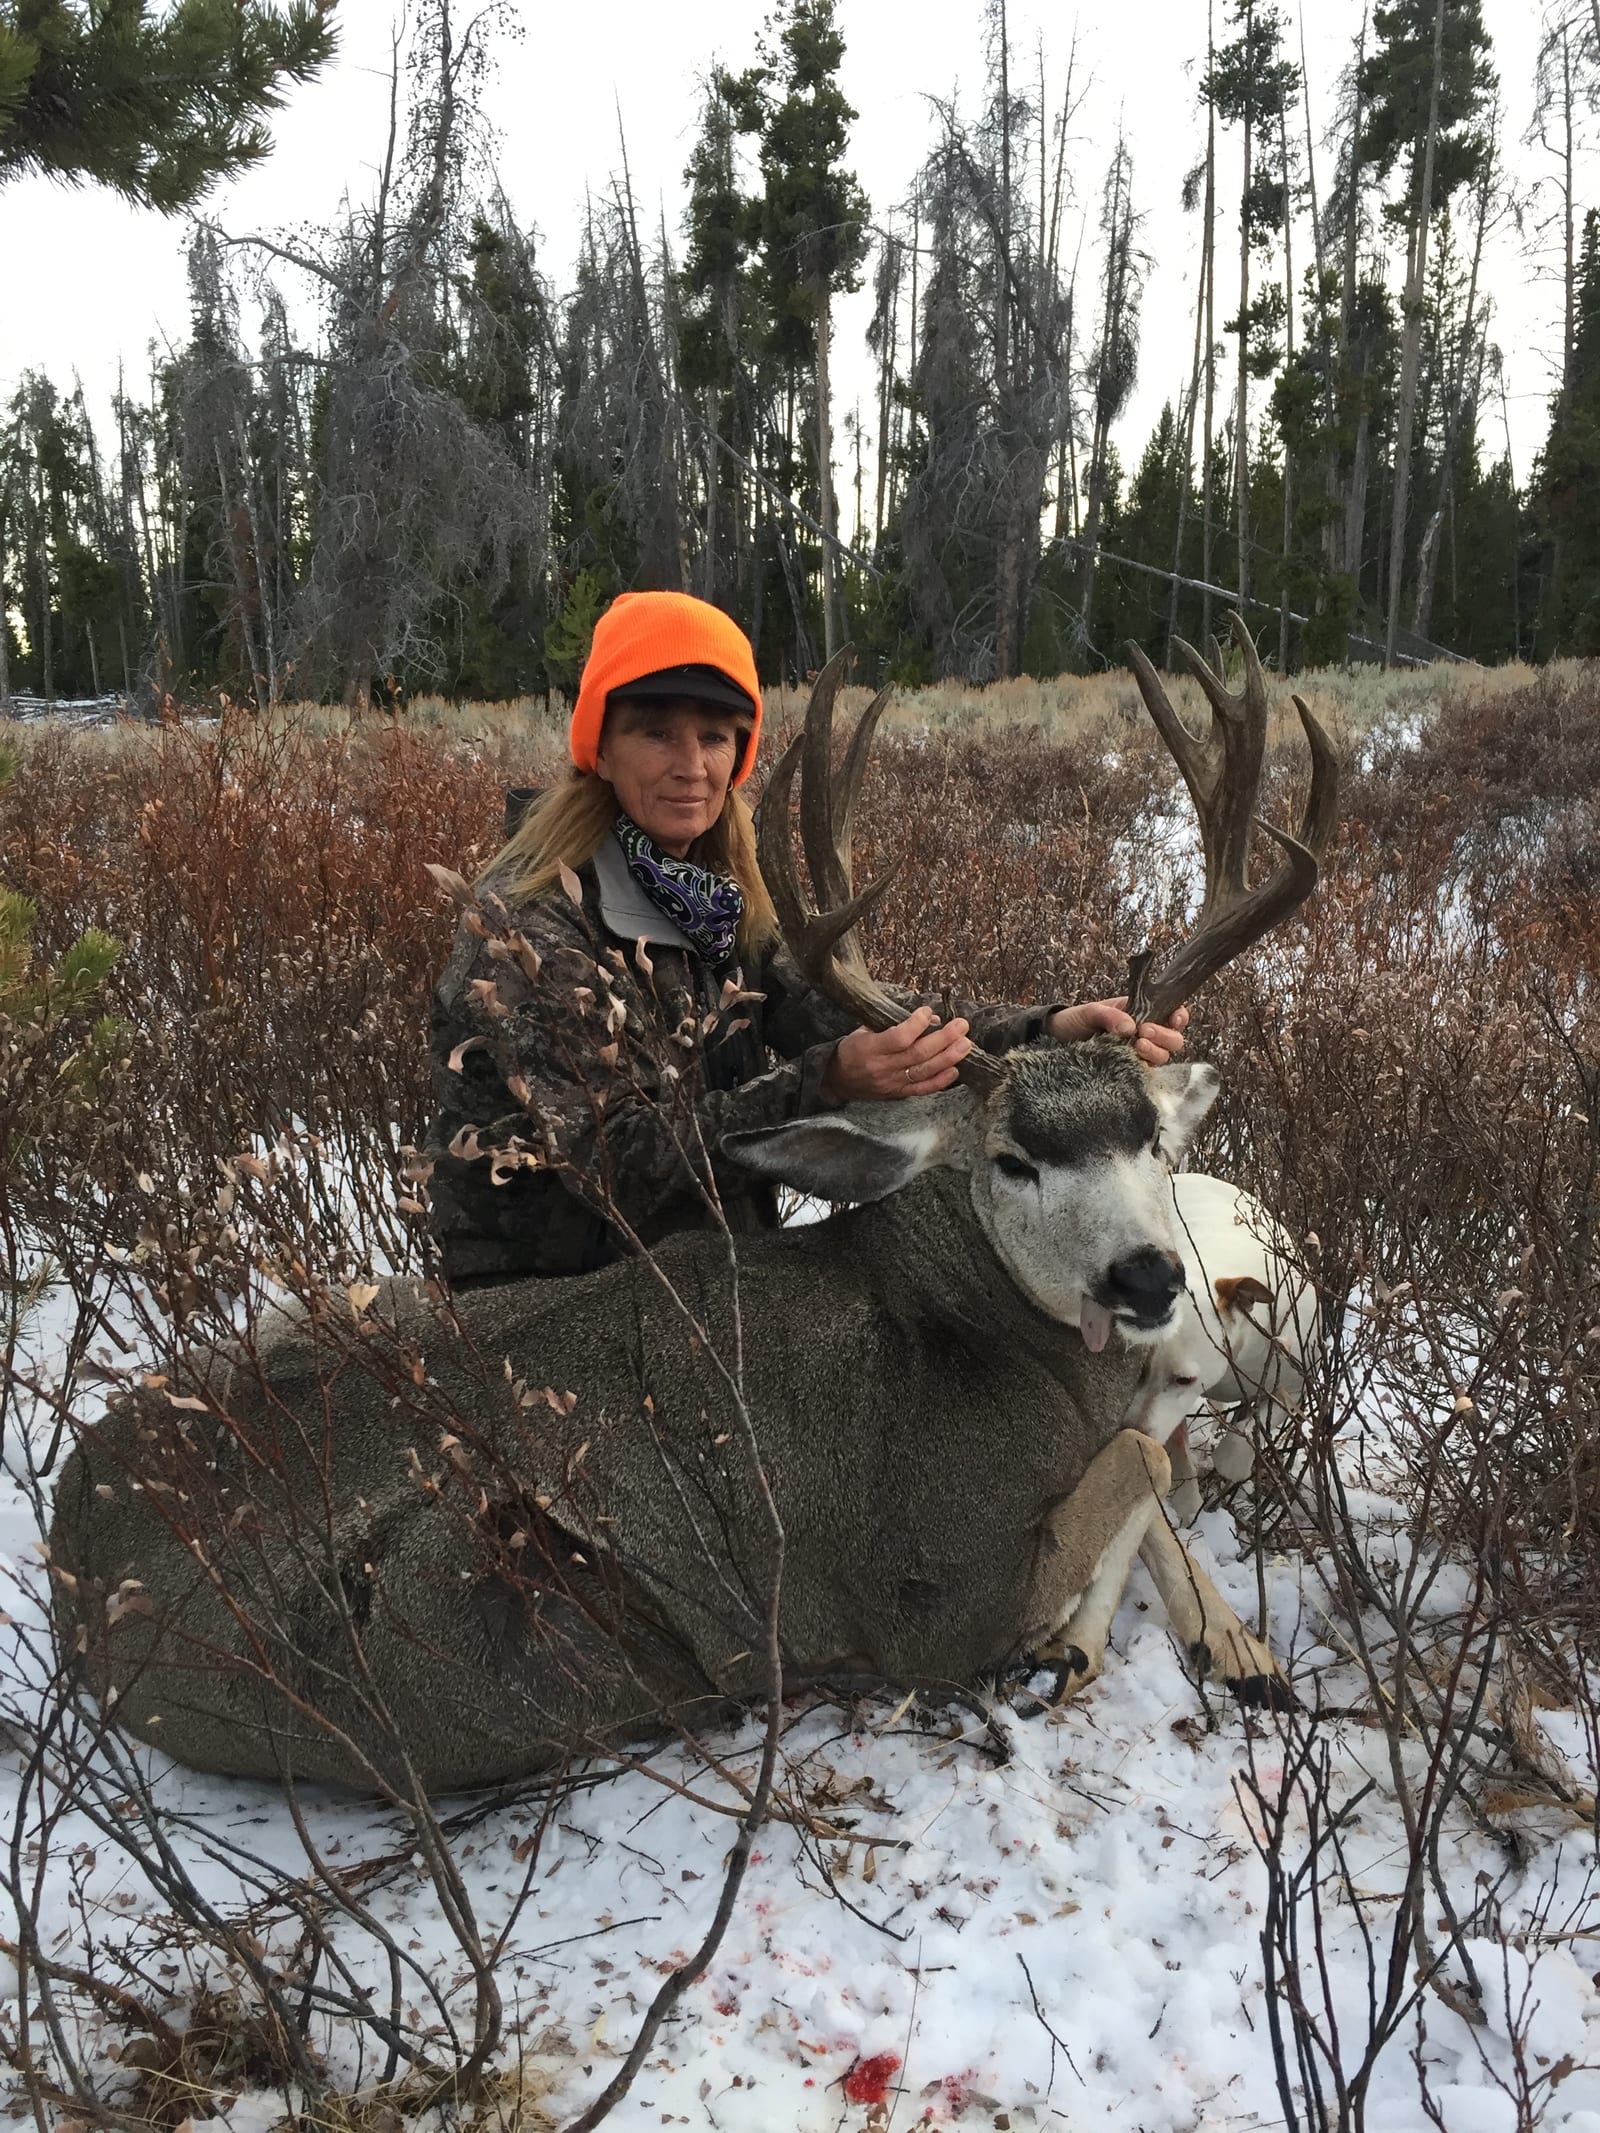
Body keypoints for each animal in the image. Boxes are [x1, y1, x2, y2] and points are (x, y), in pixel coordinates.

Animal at [48, 616, 1337, 1794]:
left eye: (1150, 1138)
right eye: (1010, 1160)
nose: (1145, 1277)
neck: (968, 1333)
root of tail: (68, 1539)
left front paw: (1227, 1642)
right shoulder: (935, 1597)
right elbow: (1143, 1461)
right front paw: (1127, 1648)